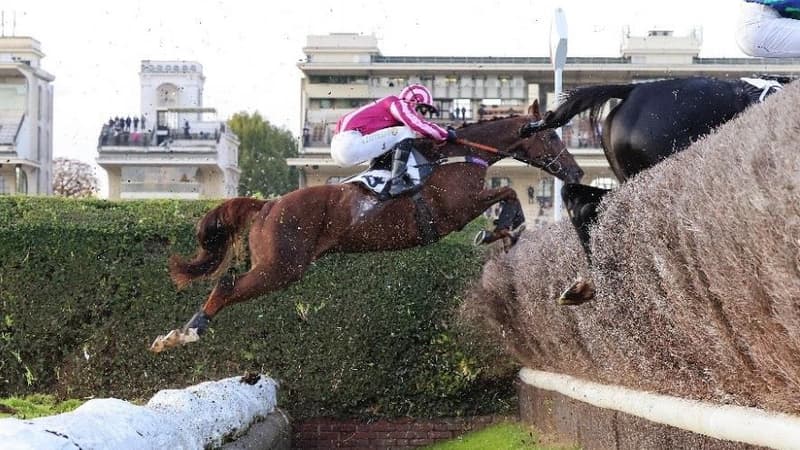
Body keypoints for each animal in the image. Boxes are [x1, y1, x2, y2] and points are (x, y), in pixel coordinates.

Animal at [150, 103, 580, 354]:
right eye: (551, 134)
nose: (575, 171)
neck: (458, 154)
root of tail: (268, 205)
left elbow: (508, 196)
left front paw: (504, 234)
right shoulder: (455, 210)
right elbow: (508, 192)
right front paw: (499, 230)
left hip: (278, 267)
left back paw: (177, 334)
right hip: (281, 268)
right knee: (225, 286)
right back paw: (184, 334)